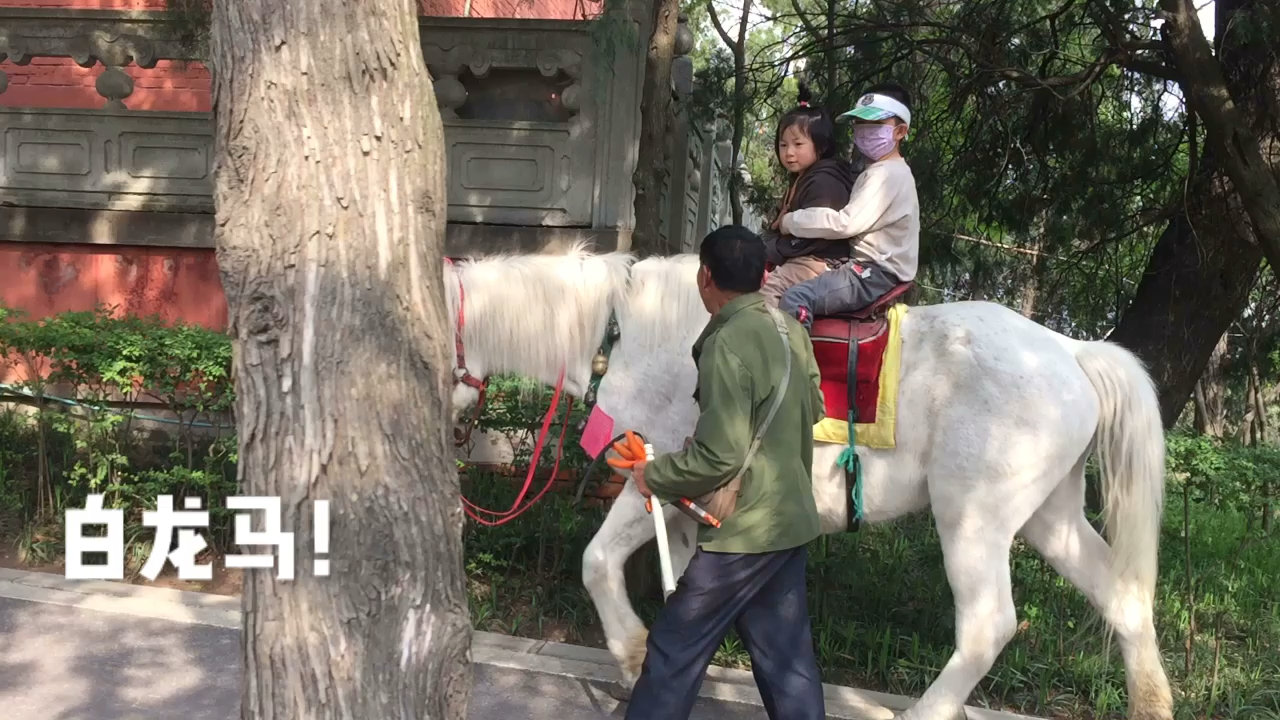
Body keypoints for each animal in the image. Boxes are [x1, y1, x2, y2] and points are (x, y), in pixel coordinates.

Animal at [445, 244, 1172, 717]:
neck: (627, 330)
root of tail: (1072, 351)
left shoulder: (655, 472)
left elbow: (598, 561)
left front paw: (630, 652)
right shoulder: (687, 506)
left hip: (974, 517)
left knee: (988, 625)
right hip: (1053, 515)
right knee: (1123, 596)